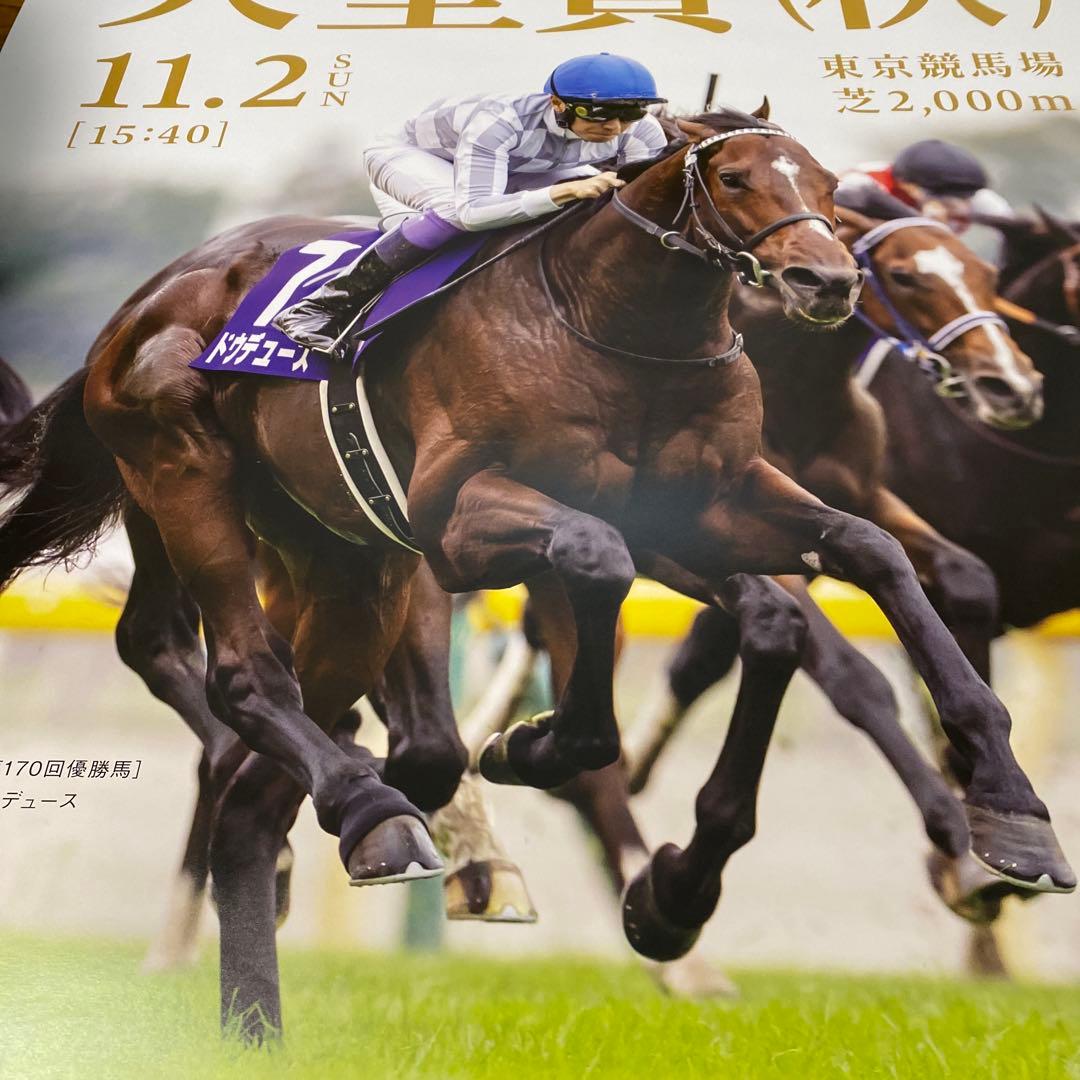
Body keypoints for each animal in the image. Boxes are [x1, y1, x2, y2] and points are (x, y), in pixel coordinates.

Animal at [0, 106, 1069, 1038]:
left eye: (829, 194)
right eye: (733, 178)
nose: (823, 280)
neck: (625, 330)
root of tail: (135, 308)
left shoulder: (721, 508)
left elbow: (862, 566)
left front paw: (1007, 817)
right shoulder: (469, 522)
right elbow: (622, 579)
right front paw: (550, 762)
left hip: (344, 560)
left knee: (263, 767)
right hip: (193, 485)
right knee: (240, 680)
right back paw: (367, 818)